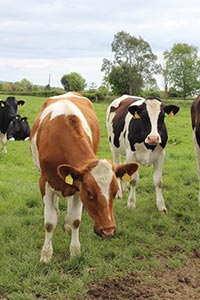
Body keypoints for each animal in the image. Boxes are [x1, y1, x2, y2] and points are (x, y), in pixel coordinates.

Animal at [30, 91, 139, 262]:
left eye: (115, 192)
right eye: (89, 193)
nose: (108, 230)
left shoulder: (77, 185)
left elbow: (76, 220)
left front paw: (75, 251)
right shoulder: (45, 182)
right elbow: (49, 222)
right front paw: (46, 255)